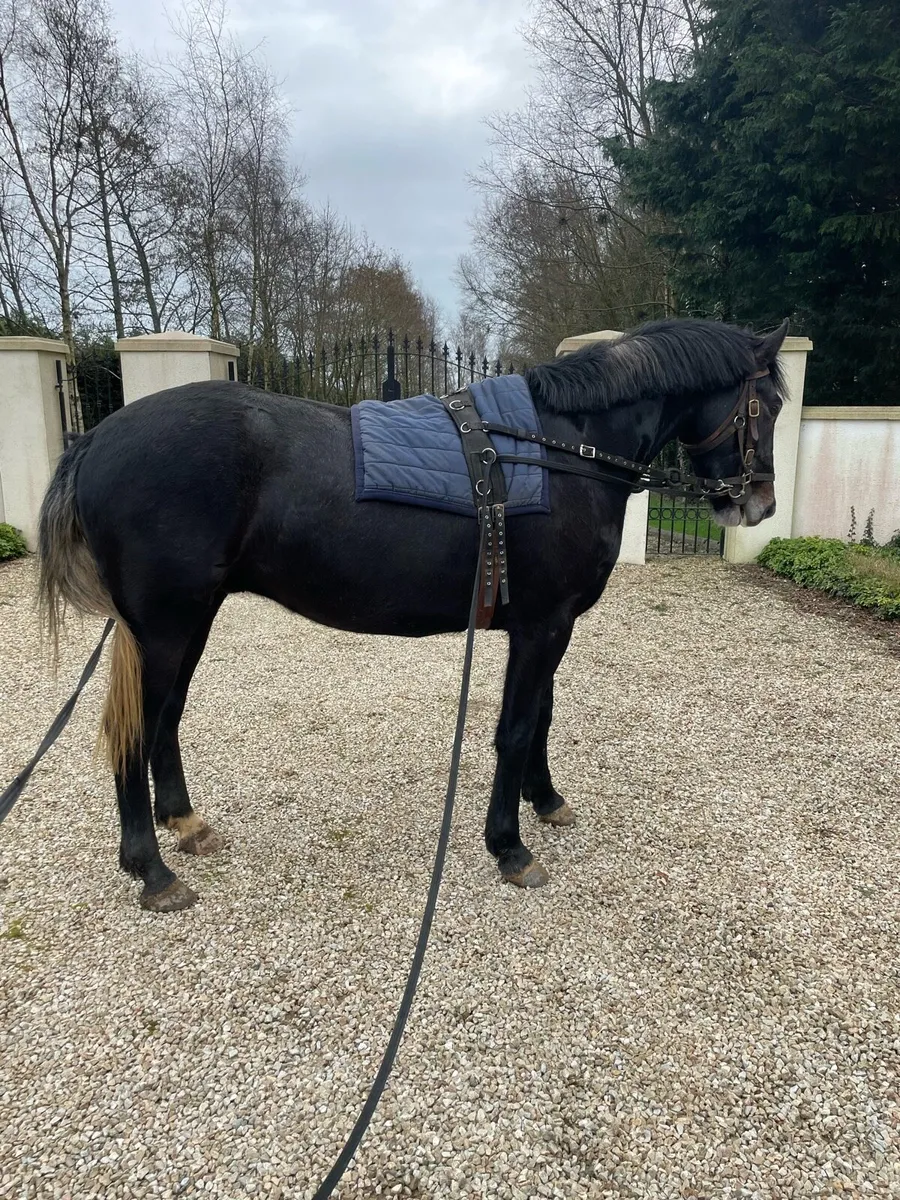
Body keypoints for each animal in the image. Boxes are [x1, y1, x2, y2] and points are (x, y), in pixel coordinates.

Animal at [37, 317, 789, 912]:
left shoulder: (552, 624)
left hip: (188, 622)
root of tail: (94, 439)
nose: (760, 504)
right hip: (164, 629)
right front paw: (509, 847)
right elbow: (517, 729)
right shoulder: (543, 625)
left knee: (165, 718)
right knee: (137, 729)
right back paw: (151, 870)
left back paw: (185, 824)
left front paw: (545, 800)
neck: (557, 449)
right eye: (770, 403)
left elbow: (543, 716)